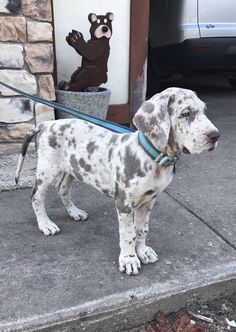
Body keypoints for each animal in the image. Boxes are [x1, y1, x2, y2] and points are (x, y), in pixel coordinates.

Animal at [16, 87, 219, 274]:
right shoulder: (124, 203)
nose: (215, 136)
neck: (153, 158)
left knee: (62, 189)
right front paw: (129, 259)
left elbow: (142, 229)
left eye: (203, 111)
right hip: (47, 170)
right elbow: (128, 234)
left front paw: (143, 251)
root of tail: (46, 124)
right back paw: (45, 224)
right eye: (186, 113)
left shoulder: (148, 201)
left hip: (72, 169)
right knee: (36, 196)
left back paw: (74, 212)